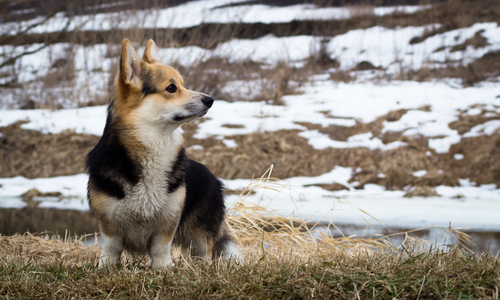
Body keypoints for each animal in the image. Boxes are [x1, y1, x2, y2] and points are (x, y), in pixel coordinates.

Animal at [86, 38, 240, 270]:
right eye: (171, 88)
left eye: (183, 84)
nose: (210, 100)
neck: (153, 146)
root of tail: (213, 176)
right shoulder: (108, 222)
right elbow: (111, 248)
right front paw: (106, 268)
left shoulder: (169, 220)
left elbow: (161, 247)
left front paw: (163, 268)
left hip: (200, 237)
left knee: (204, 254)